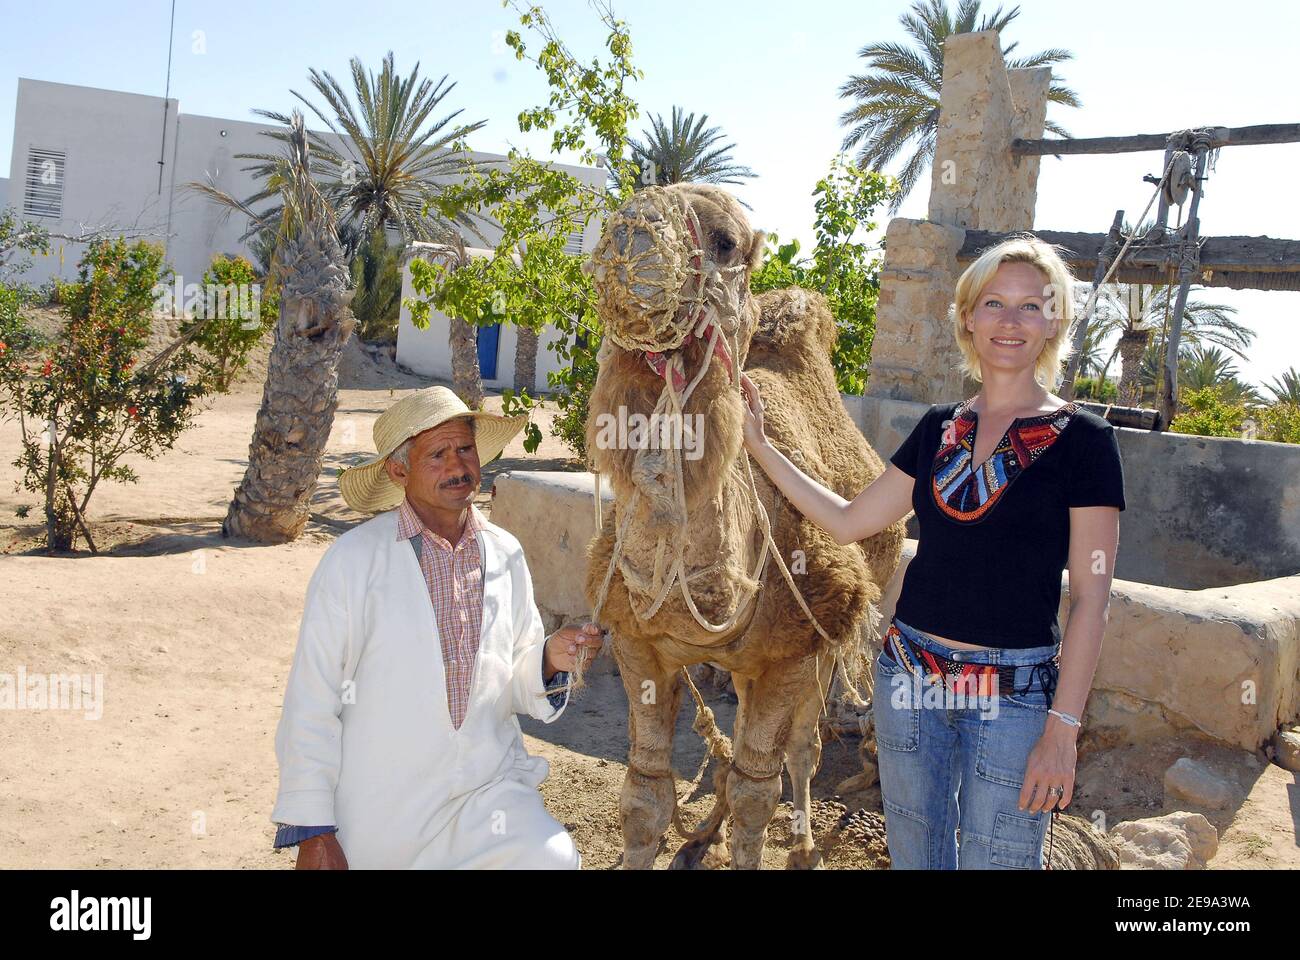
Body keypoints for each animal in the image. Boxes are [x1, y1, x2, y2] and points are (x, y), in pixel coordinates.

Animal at [585, 183, 909, 863]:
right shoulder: (637, 643)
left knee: (803, 746)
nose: (631, 232)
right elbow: (644, 795)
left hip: (835, 632)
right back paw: (706, 829)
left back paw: (805, 843)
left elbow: (760, 788)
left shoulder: (795, 651)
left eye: (726, 240)